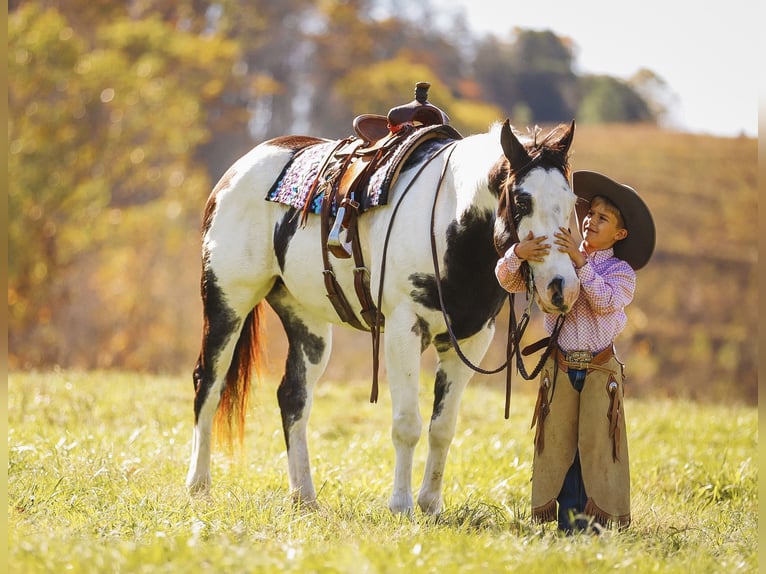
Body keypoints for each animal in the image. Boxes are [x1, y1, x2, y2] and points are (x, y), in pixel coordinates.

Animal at [188, 119, 576, 516]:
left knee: (293, 396)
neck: (451, 225)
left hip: (307, 321)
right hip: (227, 299)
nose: (561, 287)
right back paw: (200, 487)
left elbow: (443, 427)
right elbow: (407, 424)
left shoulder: (471, 339)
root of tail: (237, 170)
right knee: (210, 384)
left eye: (571, 201)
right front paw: (401, 504)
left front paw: (430, 504)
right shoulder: (404, 329)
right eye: (522, 200)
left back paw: (304, 496)